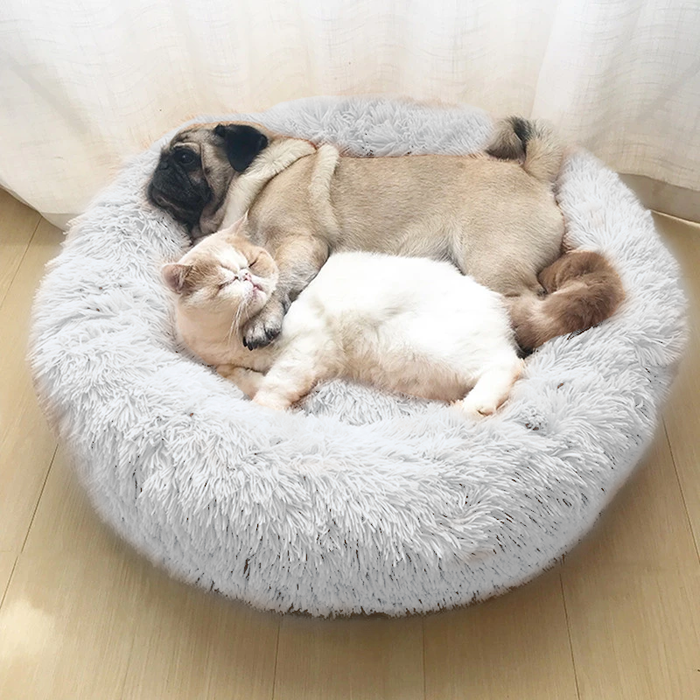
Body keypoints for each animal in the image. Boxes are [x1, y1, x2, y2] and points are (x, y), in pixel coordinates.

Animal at [161, 220, 524, 416]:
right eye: (225, 283)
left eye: (251, 263)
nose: (249, 279)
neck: (230, 339)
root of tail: (495, 303)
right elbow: (252, 379)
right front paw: (234, 374)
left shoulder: (307, 348)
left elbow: (273, 387)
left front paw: (263, 409)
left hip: (431, 348)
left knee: (508, 365)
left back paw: (473, 406)